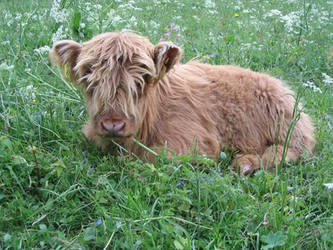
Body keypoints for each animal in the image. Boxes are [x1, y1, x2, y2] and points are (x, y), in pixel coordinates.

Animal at [50, 31, 316, 175]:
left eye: (142, 80)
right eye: (89, 79)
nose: (112, 124)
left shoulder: (196, 142)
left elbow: (147, 156)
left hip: (288, 129)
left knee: (290, 150)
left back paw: (245, 164)